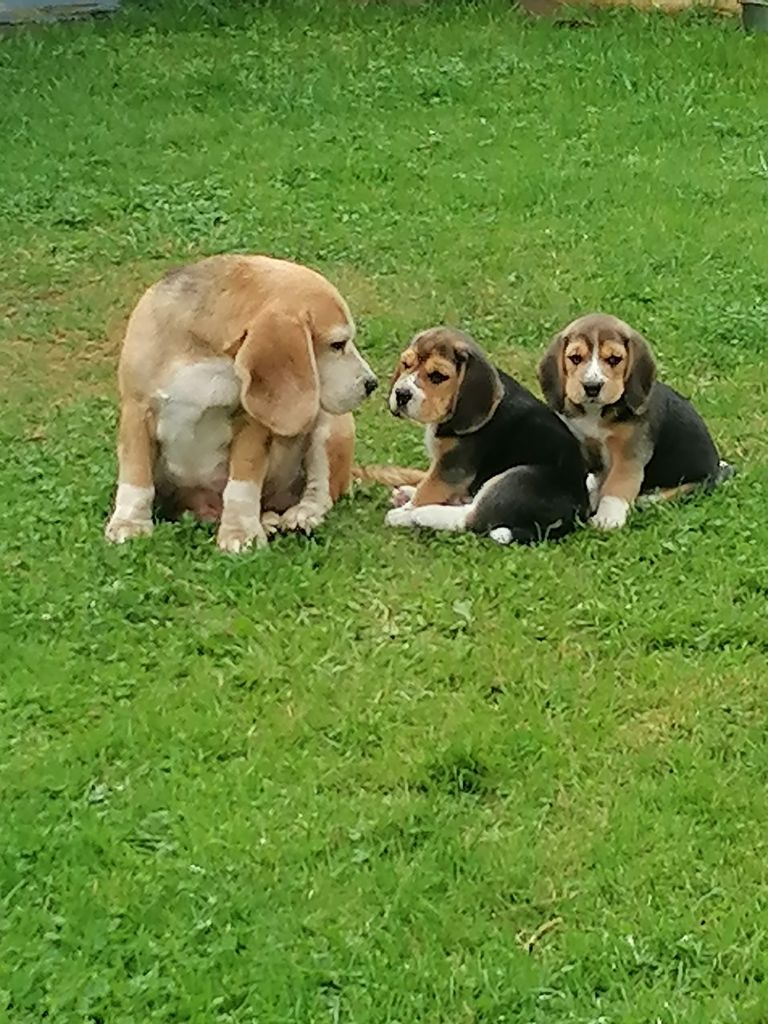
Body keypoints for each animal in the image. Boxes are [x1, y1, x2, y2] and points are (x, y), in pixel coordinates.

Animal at [103, 253, 380, 552]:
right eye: (338, 344)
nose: (372, 383)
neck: (206, 354)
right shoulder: (137, 411)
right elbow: (136, 478)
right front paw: (129, 524)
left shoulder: (250, 425)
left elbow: (242, 484)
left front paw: (241, 532)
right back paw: (267, 520)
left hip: (329, 422)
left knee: (321, 493)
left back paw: (301, 516)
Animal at [382, 325, 589, 544]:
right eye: (406, 364)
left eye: (437, 376)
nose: (401, 394)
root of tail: (577, 512)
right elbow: (427, 482)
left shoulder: (452, 468)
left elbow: (427, 489)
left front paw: (407, 510)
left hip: (516, 479)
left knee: (471, 518)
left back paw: (417, 515)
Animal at [536, 309, 737, 532]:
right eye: (575, 358)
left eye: (614, 359)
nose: (592, 386)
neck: (596, 412)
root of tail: (719, 469)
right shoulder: (582, 441)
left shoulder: (629, 453)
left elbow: (617, 485)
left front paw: (607, 518)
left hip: (693, 484)